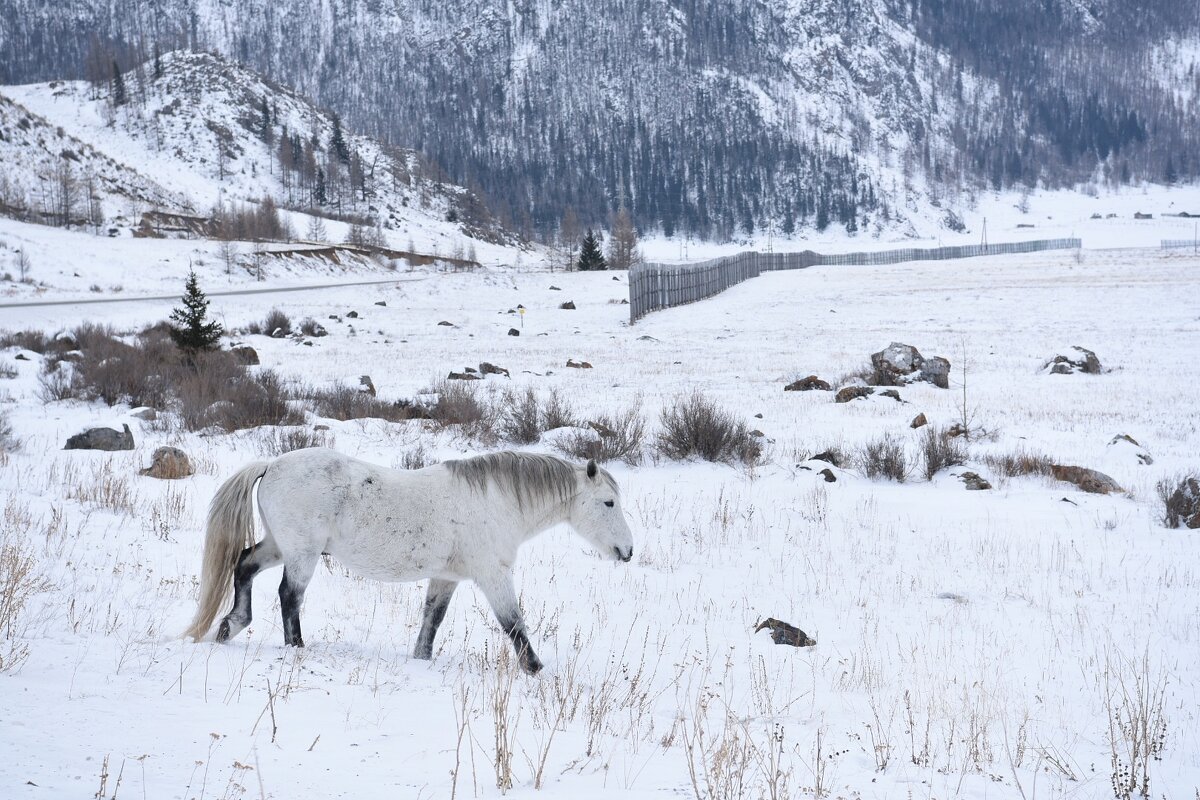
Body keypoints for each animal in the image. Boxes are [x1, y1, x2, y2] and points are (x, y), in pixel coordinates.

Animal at [182, 448, 633, 671]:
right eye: (608, 503)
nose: (628, 551)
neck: (496, 501)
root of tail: (272, 464)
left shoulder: (447, 577)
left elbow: (431, 620)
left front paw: (421, 660)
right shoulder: (493, 575)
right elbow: (514, 623)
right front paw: (535, 669)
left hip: (280, 546)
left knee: (244, 565)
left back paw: (231, 625)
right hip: (302, 554)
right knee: (289, 597)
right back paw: (296, 648)